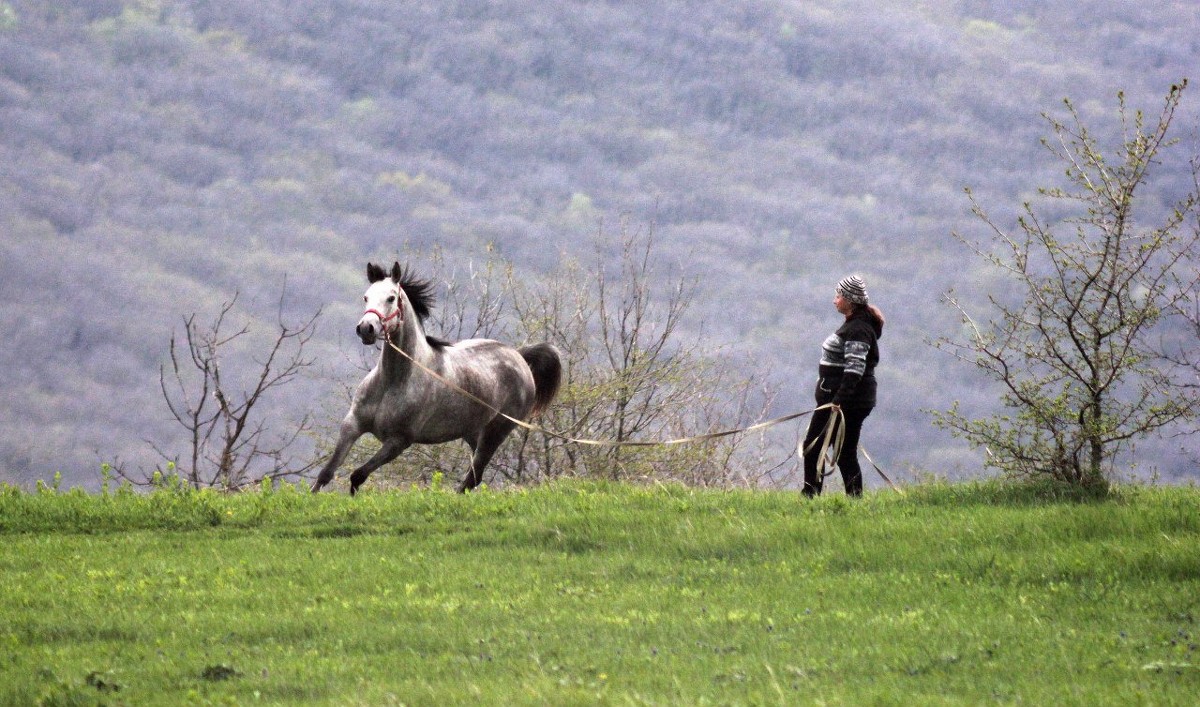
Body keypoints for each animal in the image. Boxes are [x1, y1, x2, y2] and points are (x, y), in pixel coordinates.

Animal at [312, 261, 559, 494]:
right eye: (366, 296)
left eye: (391, 298)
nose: (366, 328)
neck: (392, 382)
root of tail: (519, 356)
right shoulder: (352, 424)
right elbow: (326, 473)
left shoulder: (399, 441)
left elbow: (358, 475)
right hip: (473, 432)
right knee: (475, 475)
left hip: (496, 432)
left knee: (473, 476)